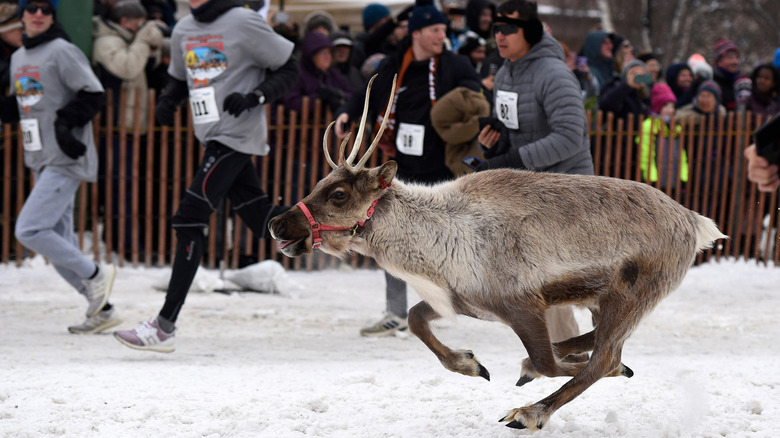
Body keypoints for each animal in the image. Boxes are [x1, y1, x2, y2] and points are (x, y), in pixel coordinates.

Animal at [267, 74, 727, 430]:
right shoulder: (461, 301)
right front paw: (471, 363)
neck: (436, 236)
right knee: (597, 343)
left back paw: (531, 411)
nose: (277, 224)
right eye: (319, 183)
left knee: (602, 356)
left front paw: (531, 384)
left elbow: (553, 362)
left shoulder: (523, 304)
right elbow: (416, 319)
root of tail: (695, 221)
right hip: (603, 300)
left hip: (629, 295)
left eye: (339, 194)